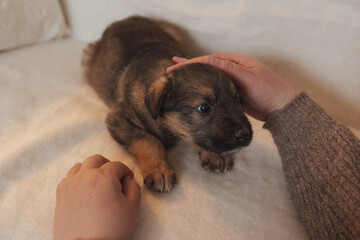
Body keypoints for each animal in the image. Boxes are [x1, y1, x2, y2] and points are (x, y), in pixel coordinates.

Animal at [83, 15, 253, 192]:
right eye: (204, 108)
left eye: (238, 99)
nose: (244, 135)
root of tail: (126, 18)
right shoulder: (118, 119)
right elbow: (149, 140)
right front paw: (160, 170)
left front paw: (216, 155)